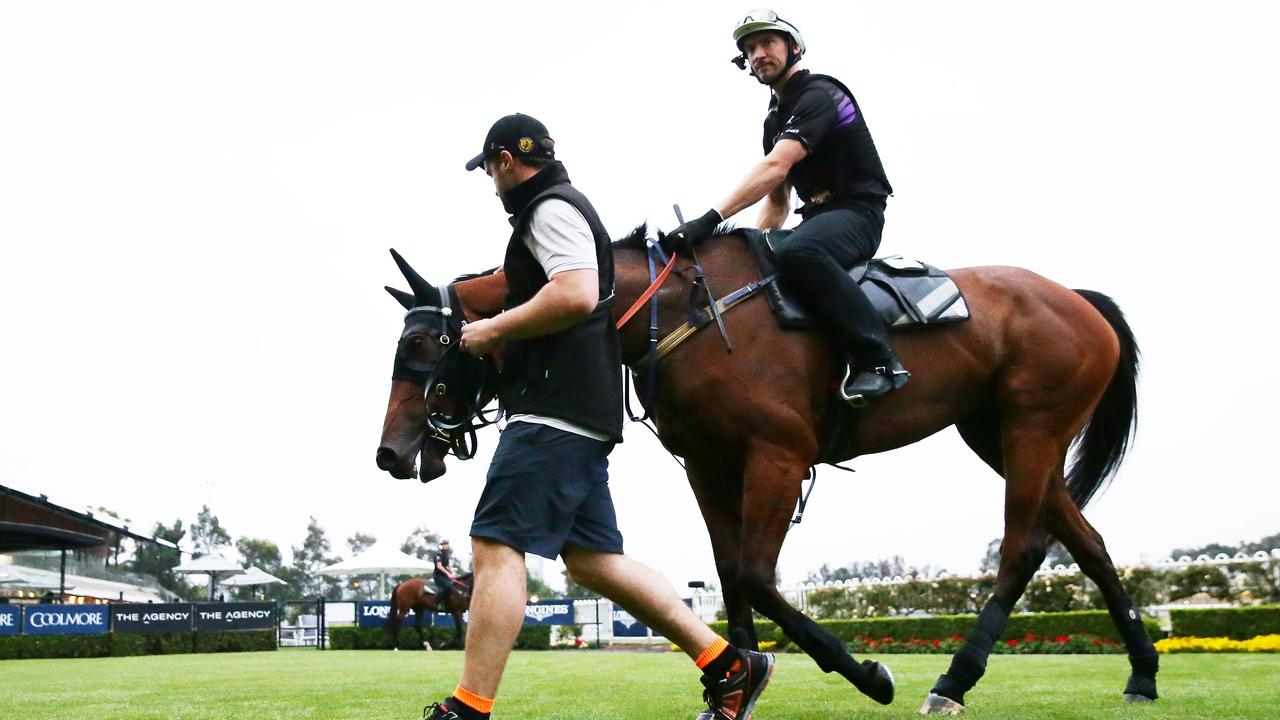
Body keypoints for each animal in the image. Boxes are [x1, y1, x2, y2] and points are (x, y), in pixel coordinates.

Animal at [373, 230, 1157, 712]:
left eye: (422, 347)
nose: (390, 453)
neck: (679, 312)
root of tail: (1078, 299)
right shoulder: (710, 465)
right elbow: (729, 578)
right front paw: (732, 683)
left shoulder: (776, 457)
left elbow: (754, 575)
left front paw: (863, 672)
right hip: (1001, 435)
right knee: (1088, 544)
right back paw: (1143, 672)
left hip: (1031, 429)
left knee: (1024, 548)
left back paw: (955, 678)